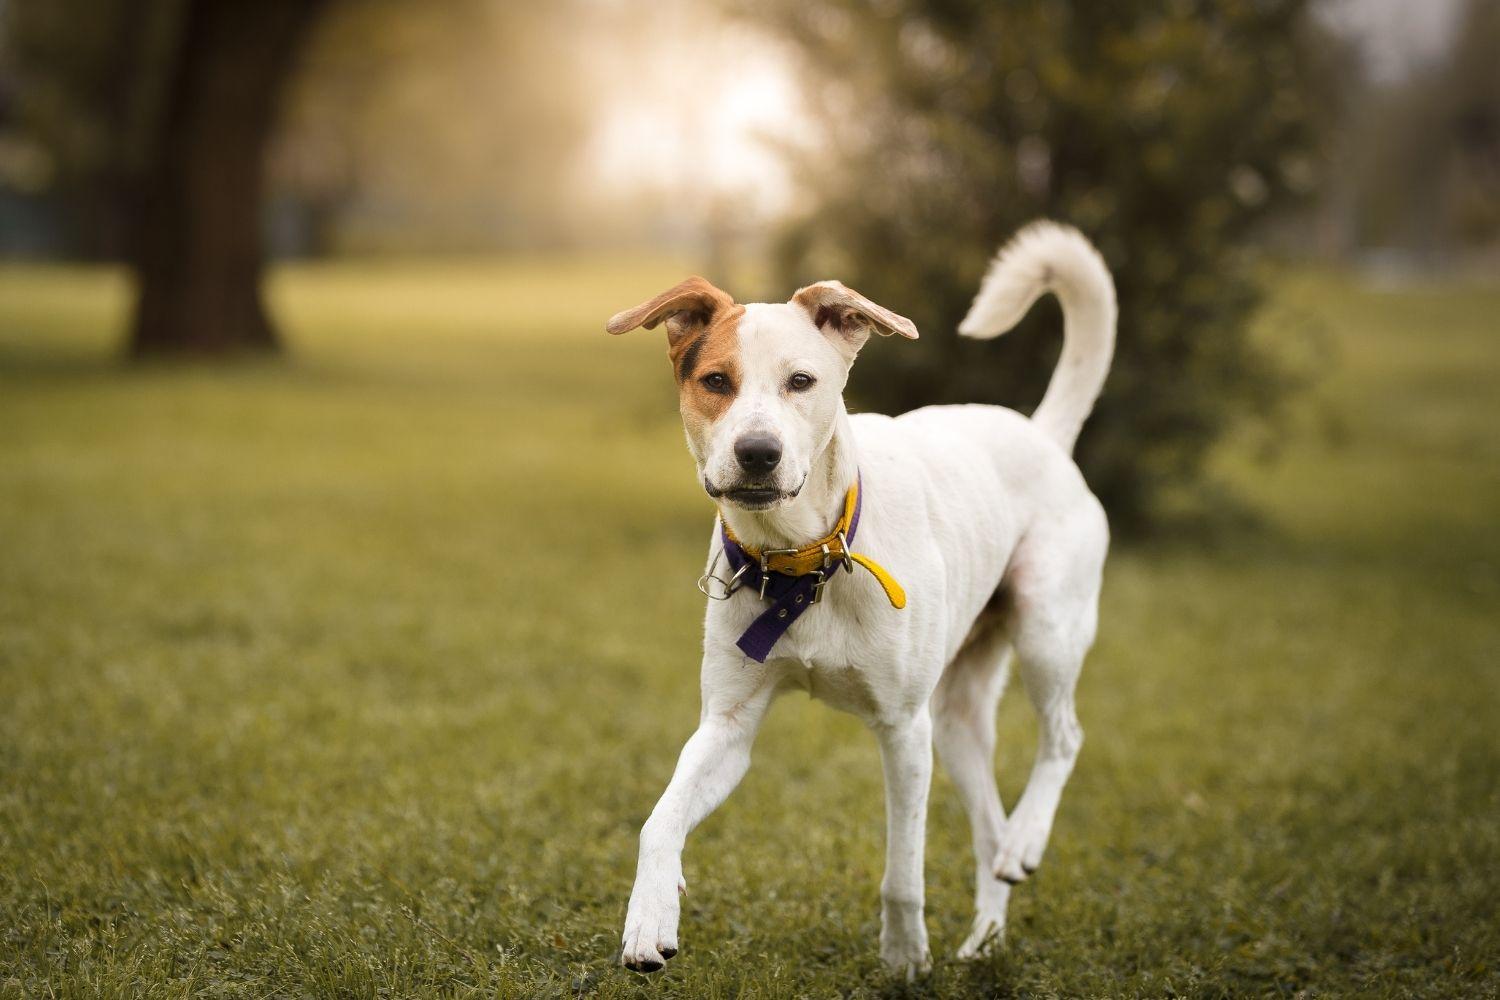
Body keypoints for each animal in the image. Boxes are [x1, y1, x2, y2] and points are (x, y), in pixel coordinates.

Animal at [606, 220, 1116, 977]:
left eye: (802, 381)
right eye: (716, 381)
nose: (758, 453)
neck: (803, 562)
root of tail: (1041, 434)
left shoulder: (904, 730)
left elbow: (903, 869)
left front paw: (904, 957)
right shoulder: (728, 727)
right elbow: (658, 819)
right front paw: (649, 916)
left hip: (1045, 630)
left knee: (1064, 736)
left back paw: (1026, 839)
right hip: (958, 716)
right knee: (987, 824)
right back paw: (988, 932)